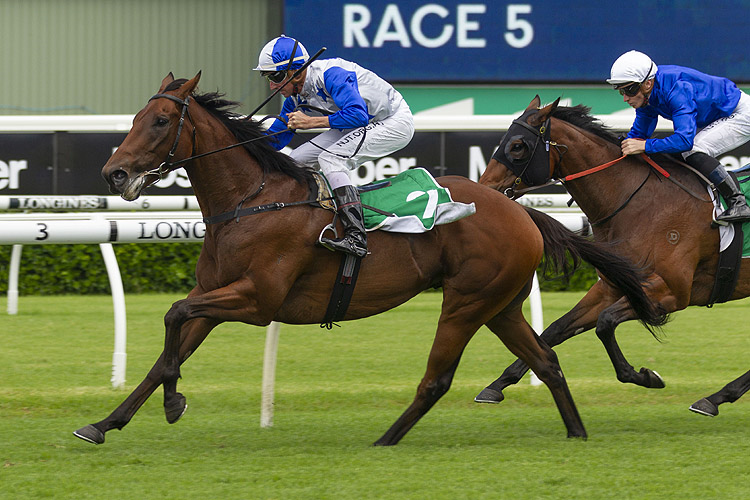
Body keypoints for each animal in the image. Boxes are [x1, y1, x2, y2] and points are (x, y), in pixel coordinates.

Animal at [73, 74, 668, 446]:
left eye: (158, 122)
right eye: (136, 116)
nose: (114, 173)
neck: (251, 199)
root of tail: (519, 210)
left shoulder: (256, 300)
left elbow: (173, 317)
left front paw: (173, 403)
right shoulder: (215, 297)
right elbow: (166, 350)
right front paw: (105, 422)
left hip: (466, 301)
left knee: (437, 378)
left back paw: (385, 439)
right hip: (499, 304)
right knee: (546, 361)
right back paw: (576, 433)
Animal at [478, 95, 750, 416]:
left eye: (518, 146)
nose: (484, 189)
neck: (638, 202)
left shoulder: (670, 293)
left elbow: (605, 323)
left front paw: (645, 376)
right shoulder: (612, 286)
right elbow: (556, 329)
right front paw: (496, 386)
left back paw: (715, 397)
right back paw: (716, 397)